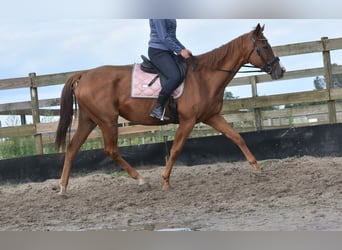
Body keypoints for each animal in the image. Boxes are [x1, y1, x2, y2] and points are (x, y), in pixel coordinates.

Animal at [55, 23, 284, 195]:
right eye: (265, 47)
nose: (280, 71)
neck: (204, 77)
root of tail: (84, 74)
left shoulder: (212, 116)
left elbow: (237, 137)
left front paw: (257, 167)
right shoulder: (188, 121)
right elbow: (175, 149)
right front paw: (165, 181)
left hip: (89, 119)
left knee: (72, 148)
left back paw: (63, 188)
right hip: (107, 120)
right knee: (110, 150)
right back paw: (141, 180)